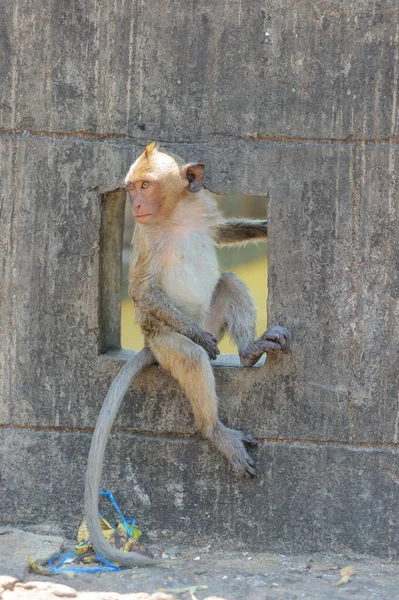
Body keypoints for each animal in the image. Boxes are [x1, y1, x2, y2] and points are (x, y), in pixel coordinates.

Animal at [85, 142, 290, 568]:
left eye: (145, 185)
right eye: (131, 188)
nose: (136, 204)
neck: (172, 215)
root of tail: (149, 347)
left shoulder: (201, 208)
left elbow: (221, 232)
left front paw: (264, 227)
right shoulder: (144, 237)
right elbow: (142, 292)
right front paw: (198, 338)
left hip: (211, 316)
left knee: (228, 282)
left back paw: (249, 352)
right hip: (164, 340)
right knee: (192, 357)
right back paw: (215, 428)